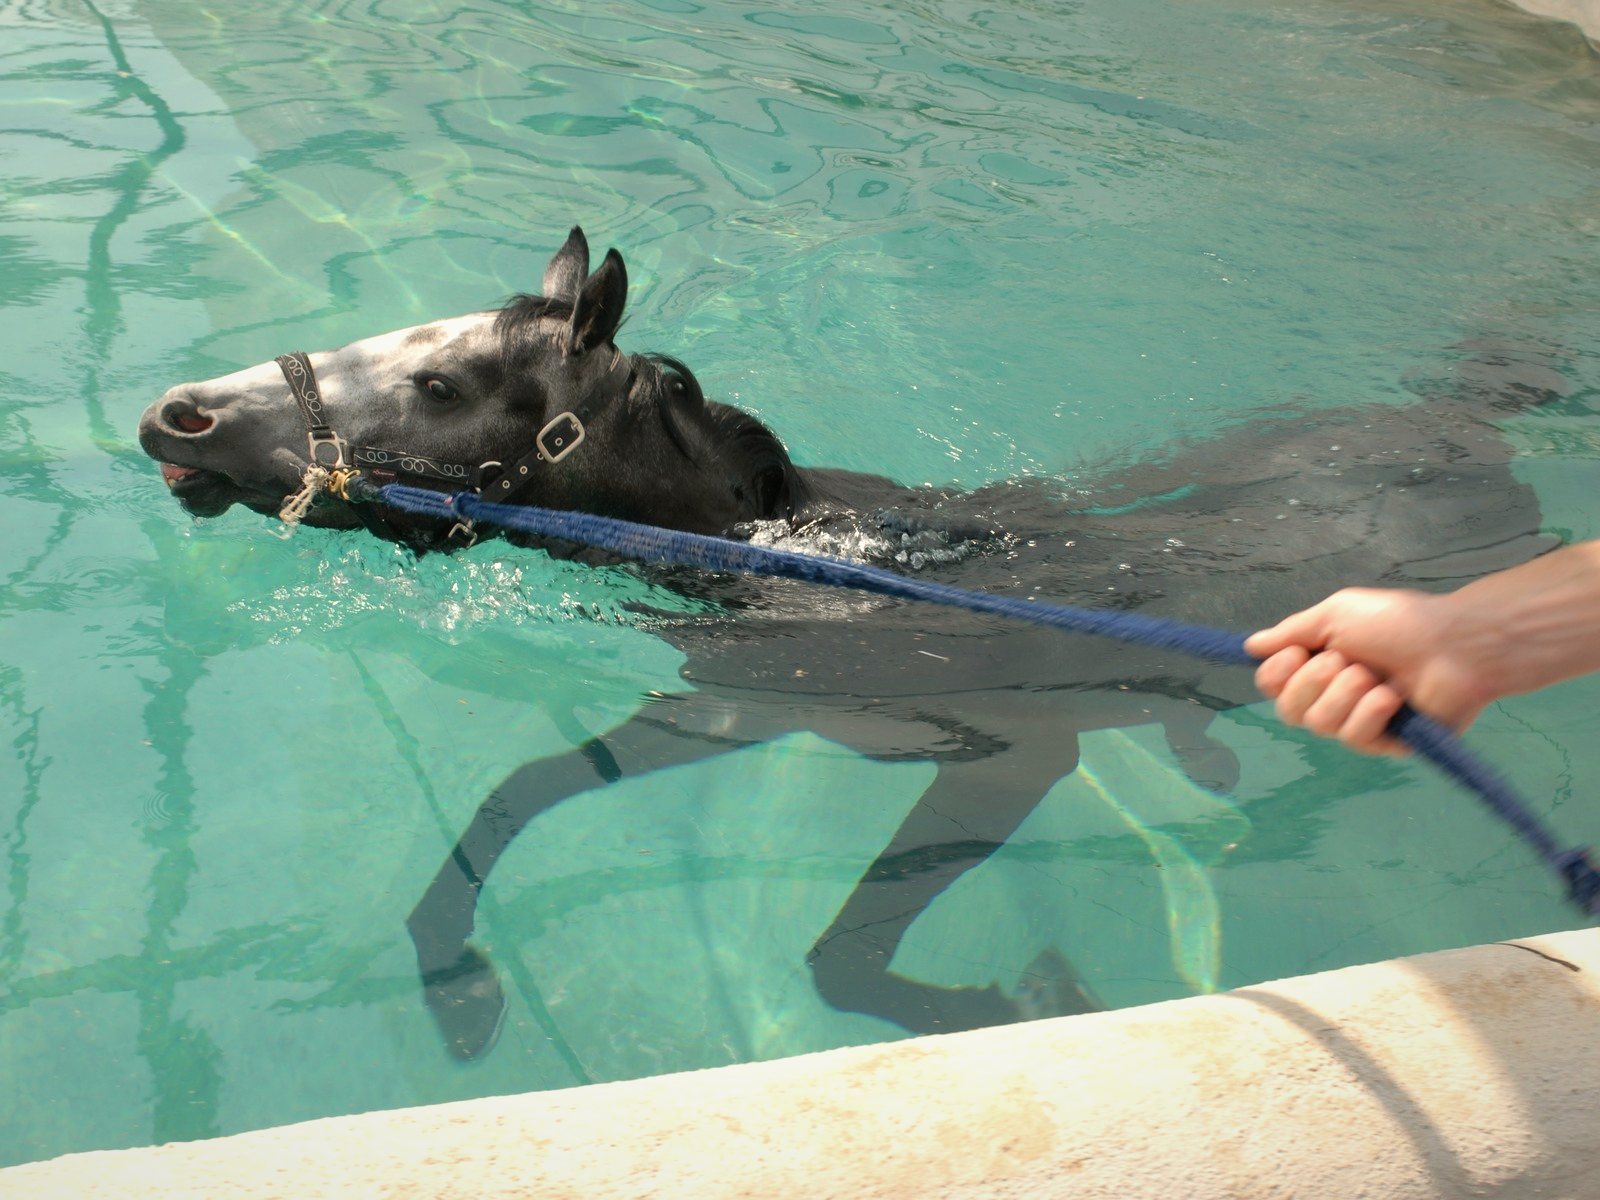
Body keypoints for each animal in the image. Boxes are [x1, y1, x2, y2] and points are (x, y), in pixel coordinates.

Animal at [138, 226, 1564, 1058]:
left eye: (438, 383)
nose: (177, 416)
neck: (812, 570)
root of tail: (1462, 415)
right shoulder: (728, 715)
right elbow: (512, 798)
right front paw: (461, 986)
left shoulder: (1010, 756)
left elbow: (841, 954)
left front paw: (1021, 1004)